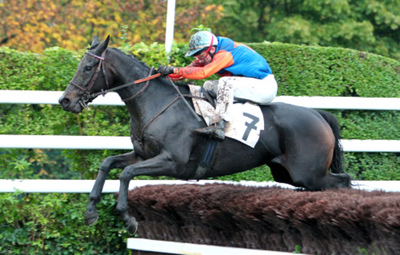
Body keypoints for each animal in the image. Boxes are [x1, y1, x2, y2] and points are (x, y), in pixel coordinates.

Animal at [58, 35, 350, 235]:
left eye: (87, 67)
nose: (65, 100)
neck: (156, 101)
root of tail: (319, 115)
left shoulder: (172, 162)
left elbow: (126, 174)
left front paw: (127, 218)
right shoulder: (142, 154)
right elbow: (108, 164)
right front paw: (90, 211)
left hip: (308, 172)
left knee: (343, 182)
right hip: (288, 173)